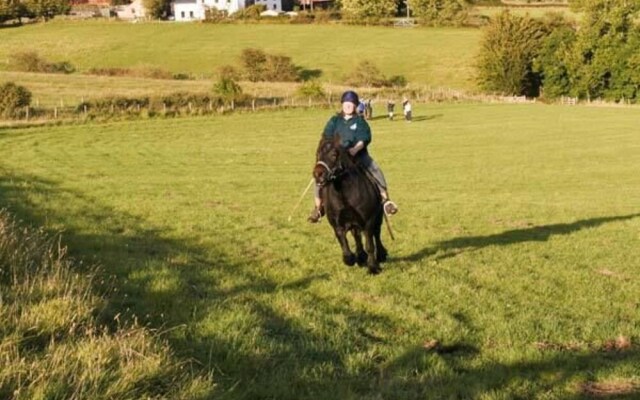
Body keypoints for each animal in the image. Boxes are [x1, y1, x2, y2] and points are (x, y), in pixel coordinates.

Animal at [312, 136, 388, 274]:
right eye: (318, 154)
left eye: (334, 155)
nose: (317, 174)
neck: (344, 193)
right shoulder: (337, 225)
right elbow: (344, 242)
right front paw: (351, 259)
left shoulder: (368, 221)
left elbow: (370, 244)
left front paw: (373, 267)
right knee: (356, 236)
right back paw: (361, 256)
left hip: (378, 217)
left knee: (377, 233)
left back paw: (381, 255)